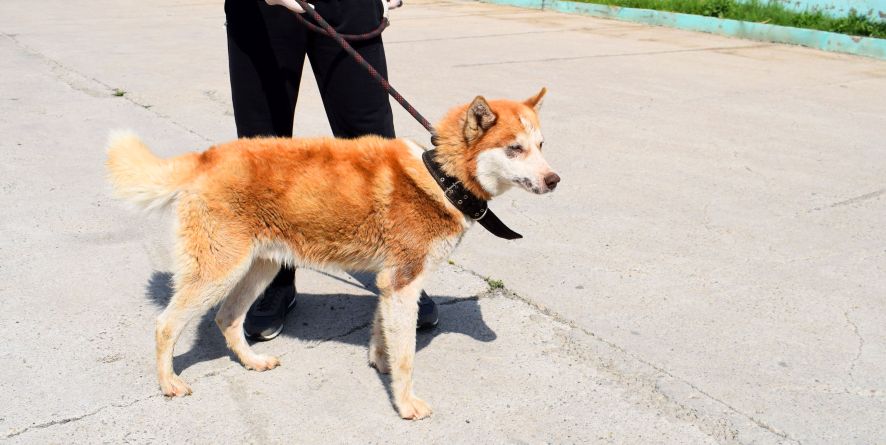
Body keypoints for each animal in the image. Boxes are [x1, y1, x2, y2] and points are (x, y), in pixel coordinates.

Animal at [106, 88, 560, 418]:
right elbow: (407, 356)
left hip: (260, 267)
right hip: (218, 270)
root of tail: (206, 157)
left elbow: (382, 334)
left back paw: (252, 362)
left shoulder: (389, 283)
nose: (554, 180)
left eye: (540, 144)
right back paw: (168, 382)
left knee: (227, 318)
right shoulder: (402, 283)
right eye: (514, 149)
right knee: (166, 324)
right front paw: (405, 403)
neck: (441, 177)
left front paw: (380, 362)